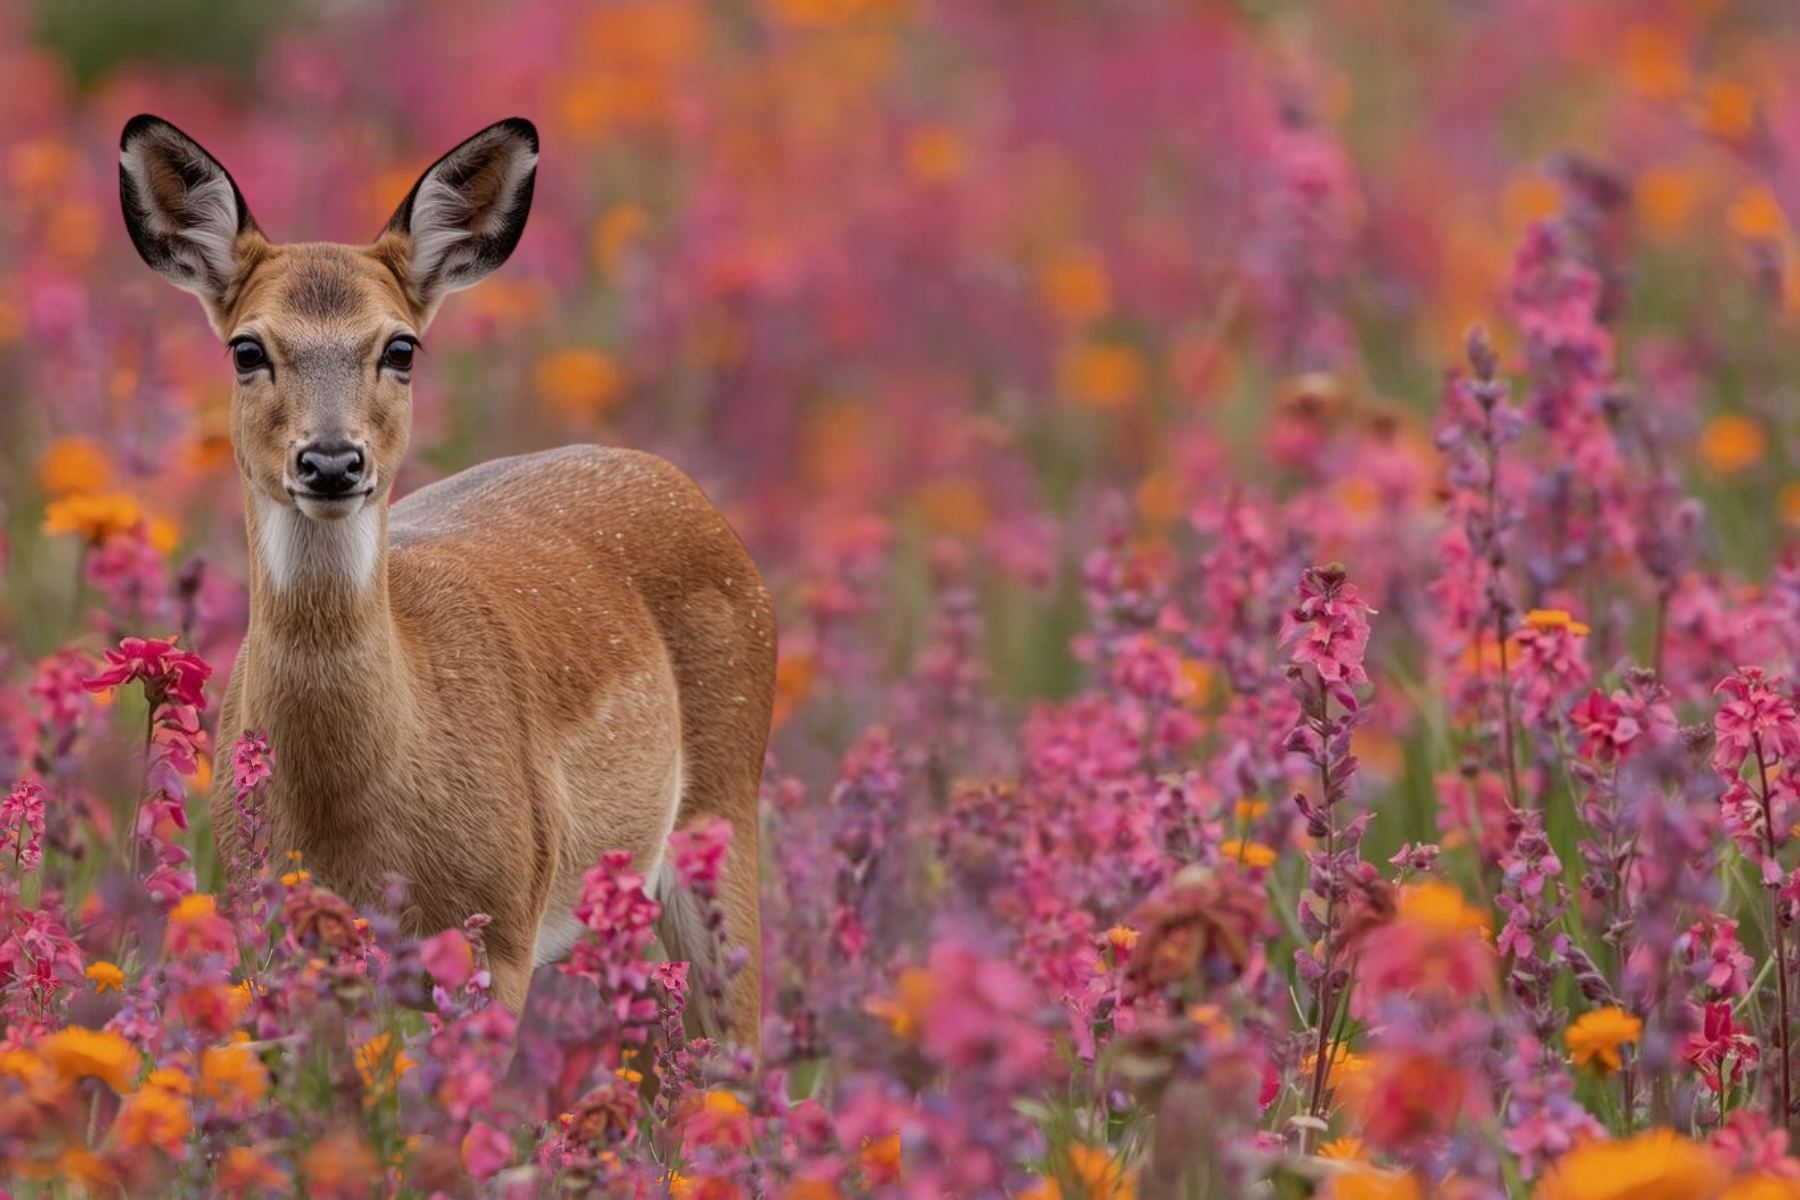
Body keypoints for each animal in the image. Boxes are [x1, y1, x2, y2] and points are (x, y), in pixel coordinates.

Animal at [117, 114, 776, 1047]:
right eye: (247, 349)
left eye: (400, 346)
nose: (331, 461)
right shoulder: (274, 935)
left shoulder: (498, 928)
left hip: (724, 806)